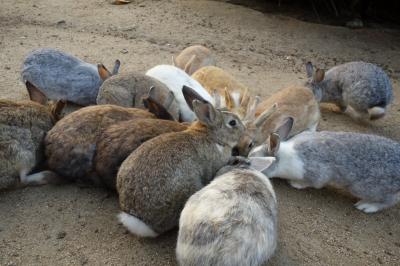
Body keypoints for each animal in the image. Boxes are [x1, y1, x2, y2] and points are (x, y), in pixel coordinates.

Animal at [250, 117, 400, 213]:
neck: (284, 157)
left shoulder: (316, 175)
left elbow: (313, 183)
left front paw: (295, 184)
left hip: (365, 188)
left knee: (390, 200)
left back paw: (367, 206)